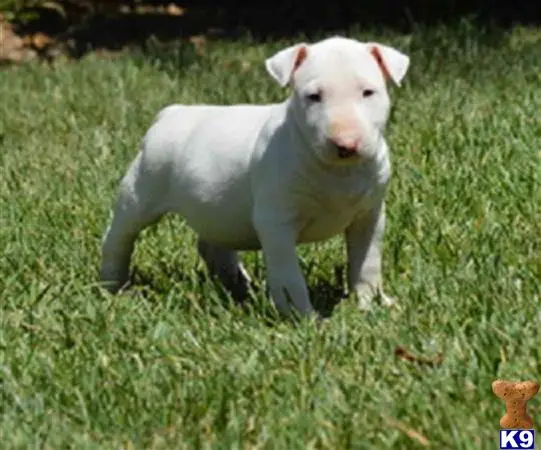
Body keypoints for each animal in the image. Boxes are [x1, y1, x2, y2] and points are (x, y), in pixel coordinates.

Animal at [98, 36, 410, 316]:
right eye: (314, 96)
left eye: (368, 92)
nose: (346, 145)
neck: (338, 171)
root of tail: (171, 113)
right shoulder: (276, 222)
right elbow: (288, 275)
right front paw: (304, 317)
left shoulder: (369, 215)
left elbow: (366, 262)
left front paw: (372, 305)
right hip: (142, 189)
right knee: (120, 235)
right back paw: (111, 286)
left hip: (217, 209)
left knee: (212, 245)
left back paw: (239, 285)